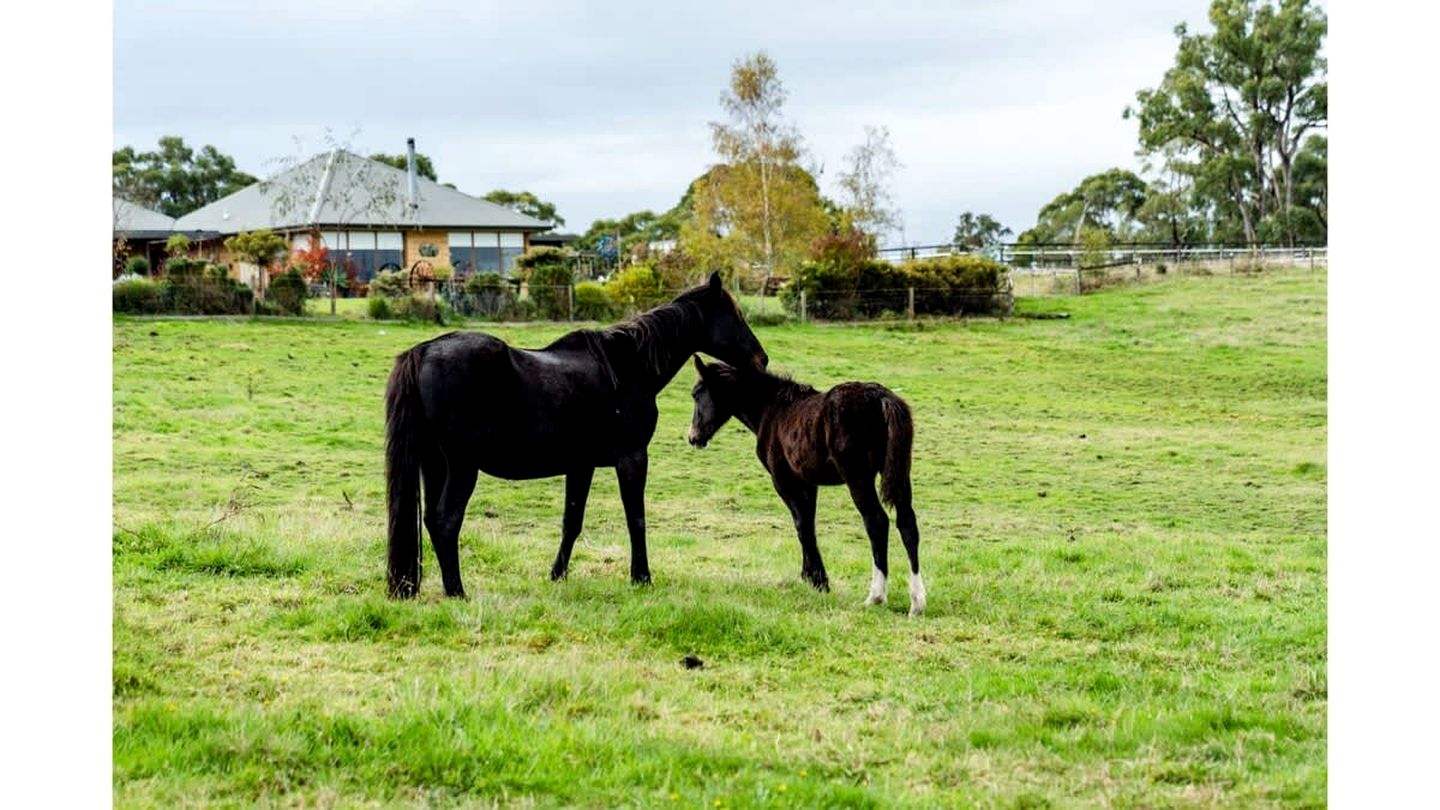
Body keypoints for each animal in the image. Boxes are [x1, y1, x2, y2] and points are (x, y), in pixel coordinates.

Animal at [384, 272, 768, 599]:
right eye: (735, 315)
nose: (761, 359)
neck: (628, 368)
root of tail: (424, 351)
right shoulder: (632, 458)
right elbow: (637, 519)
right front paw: (642, 577)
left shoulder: (581, 466)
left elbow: (572, 521)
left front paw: (557, 575)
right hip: (462, 468)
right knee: (446, 521)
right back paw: (457, 592)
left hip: (434, 464)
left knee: (431, 520)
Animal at [687, 358, 926, 616]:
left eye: (696, 394)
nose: (693, 437)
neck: (772, 409)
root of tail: (882, 398)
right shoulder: (808, 482)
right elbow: (808, 523)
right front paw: (811, 576)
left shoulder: (783, 479)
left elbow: (801, 525)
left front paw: (818, 581)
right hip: (901, 473)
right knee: (907, 523)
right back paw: (917, 602)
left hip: (858, 478)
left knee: (876, 522)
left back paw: (876, 596)